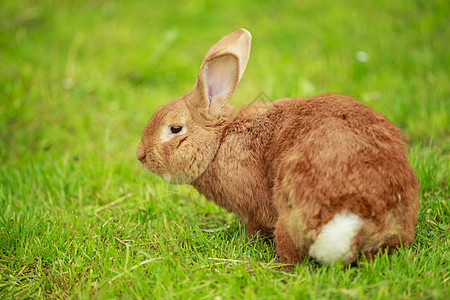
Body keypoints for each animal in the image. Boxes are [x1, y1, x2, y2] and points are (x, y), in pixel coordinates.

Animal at [136, 28, 418, 264]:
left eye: (175, 129)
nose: (141, 156)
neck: (220, 141)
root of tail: (353, 221)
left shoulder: (251, 210)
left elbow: (254, 228)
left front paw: (242, 244)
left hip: (289, 208)